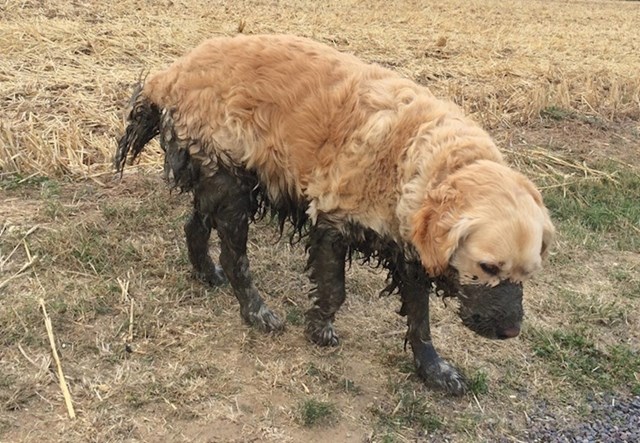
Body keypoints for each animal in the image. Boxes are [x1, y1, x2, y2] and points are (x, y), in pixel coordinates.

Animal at [116, 33, 556, 396]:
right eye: (488, 267)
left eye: (529, 273)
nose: (511, 331)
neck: (419, 157)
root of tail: (172, 72)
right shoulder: (332, 222)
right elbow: (334, 290)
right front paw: (319, 329)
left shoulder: (408, 252)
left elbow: (420, 319)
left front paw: (433, 369)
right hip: (232, 187)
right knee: (234, 256)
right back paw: (256, 311)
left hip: (218, 182)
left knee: (193, 225)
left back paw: (206, 273)